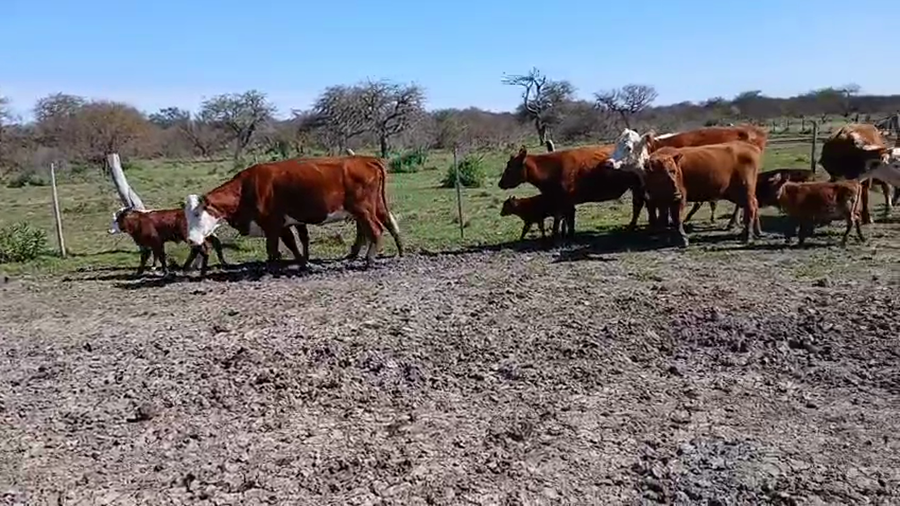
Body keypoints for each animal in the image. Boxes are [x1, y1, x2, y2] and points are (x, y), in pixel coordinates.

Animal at [183, 155, 403, 269]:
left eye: (197, 214)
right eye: (186, 215)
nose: (191, 240)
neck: (246, 189)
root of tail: (364, 158)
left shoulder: (271, 224)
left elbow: (272, 248)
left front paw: (271, 266)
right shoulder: (284, 224)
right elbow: (293, 243)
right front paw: (303, 262)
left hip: (363, 210)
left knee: (375, 229)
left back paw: (370, 259)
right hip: (376, 206)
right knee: (388, 224)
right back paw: (398, 252)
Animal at [498, 144, 646, 238]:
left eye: (510, 168)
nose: (500, 183)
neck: (551, 169)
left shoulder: (565, 202)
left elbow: (565, 220)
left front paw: (564, 235)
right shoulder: (560, 202)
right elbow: (565, 220)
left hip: (638, 186)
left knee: (638, 205)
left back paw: (631, 226)